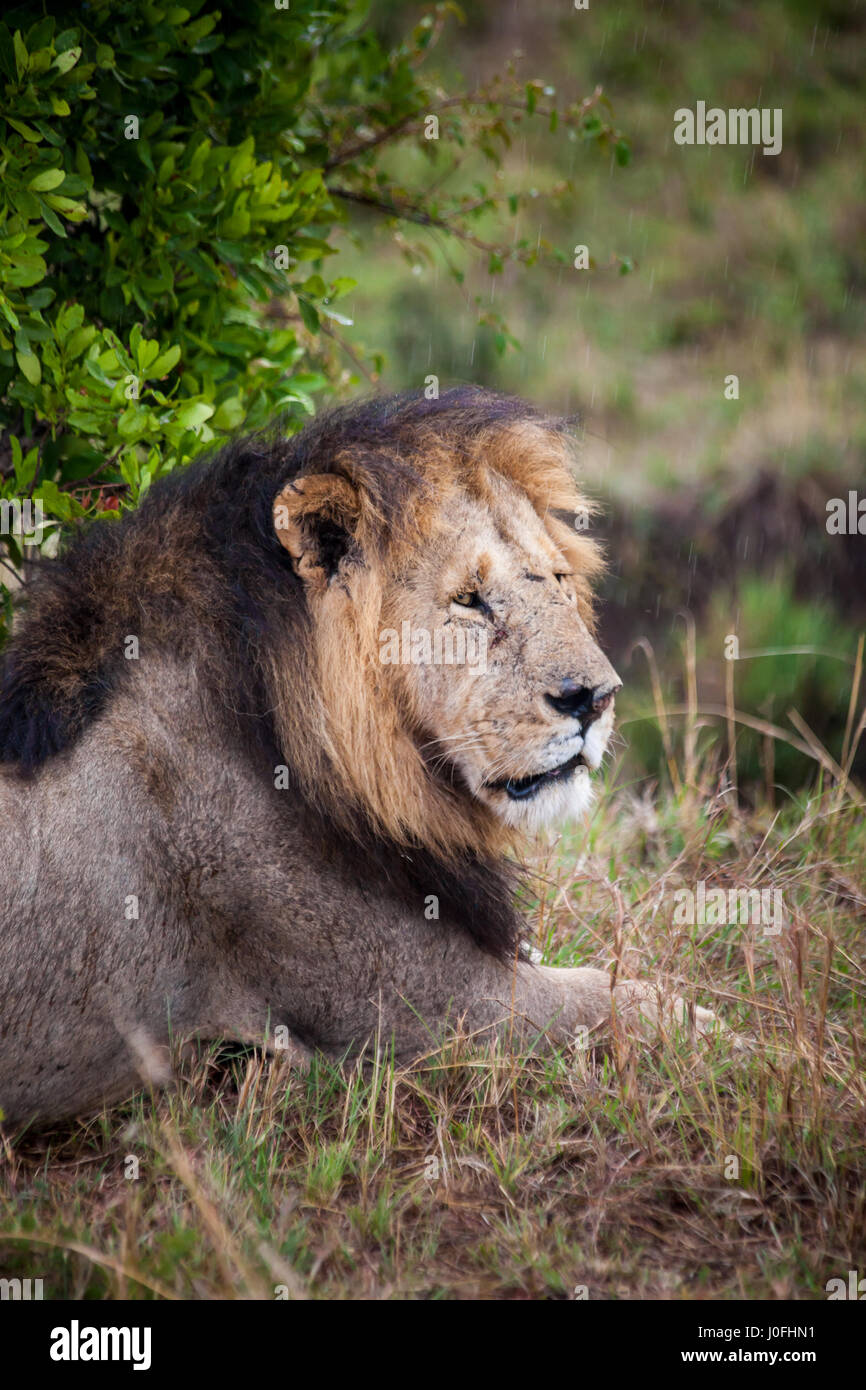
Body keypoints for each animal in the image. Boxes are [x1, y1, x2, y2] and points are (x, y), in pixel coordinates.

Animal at [0, 388, 719, 1126]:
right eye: (469, 600)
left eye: (557, 579)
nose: (595, 699)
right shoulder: (414, 1002)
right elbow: (615, 998)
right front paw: (720, 1033)